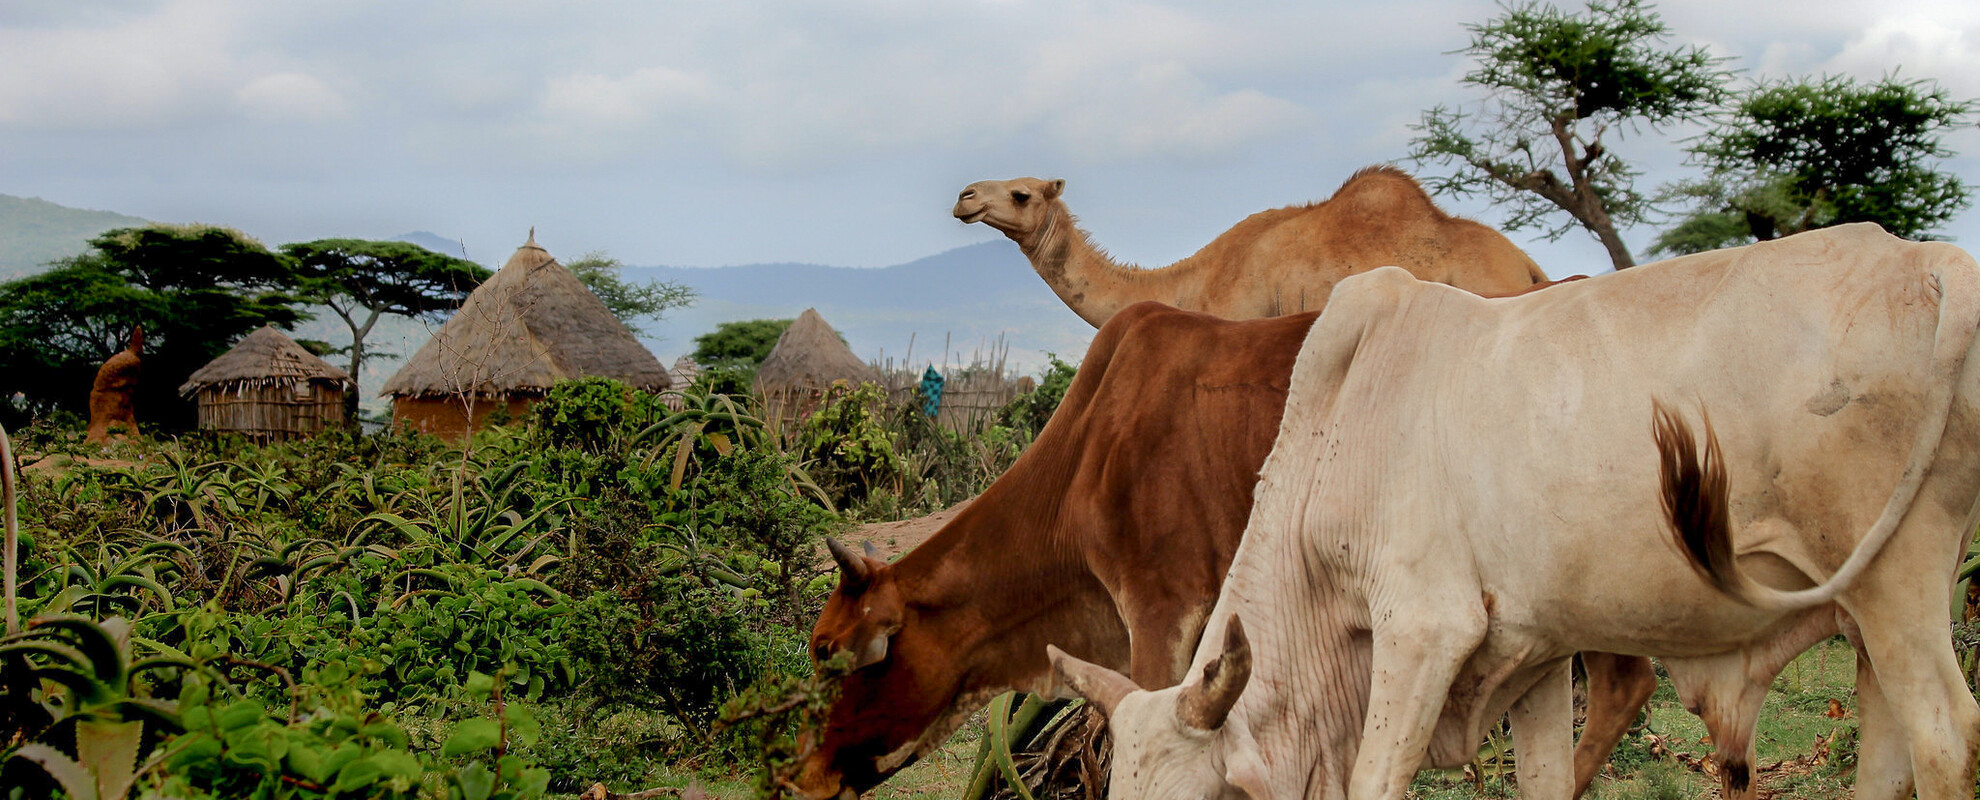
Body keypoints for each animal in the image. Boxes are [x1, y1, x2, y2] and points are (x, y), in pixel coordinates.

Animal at [1051, 224, 1980, 800]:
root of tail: (1932, 262)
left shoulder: (1425, 629)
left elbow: (1377, 781)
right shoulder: (1535, 654)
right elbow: (1545, 780)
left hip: (1897, 582)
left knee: (1944, 734)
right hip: (1869, 610)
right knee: (1889, 751)